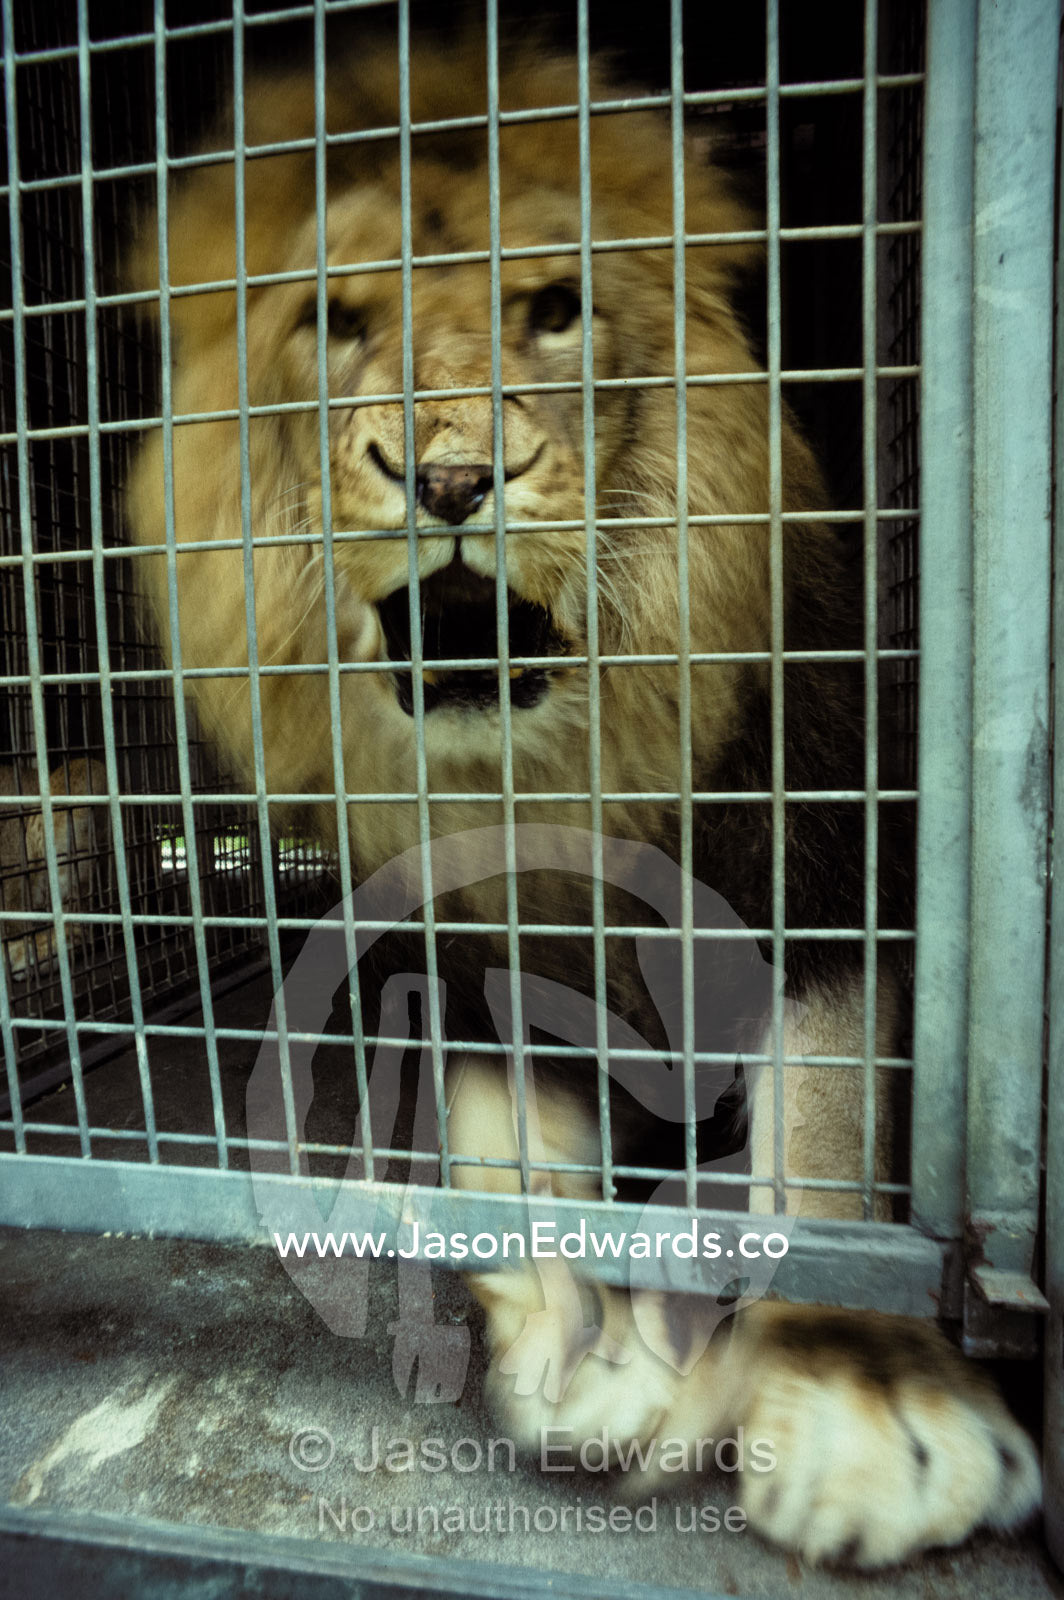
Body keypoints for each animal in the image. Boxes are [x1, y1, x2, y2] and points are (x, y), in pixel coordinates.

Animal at [125, 33, 1040, 1567]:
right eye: (334, 323)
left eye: (554, 312)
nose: (446, 478)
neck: (551, 768)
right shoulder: (463, 949)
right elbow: (506, 1168)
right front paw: (580, 1365)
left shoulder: (824, 869)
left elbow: (833, 1155)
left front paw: (867, 1412)